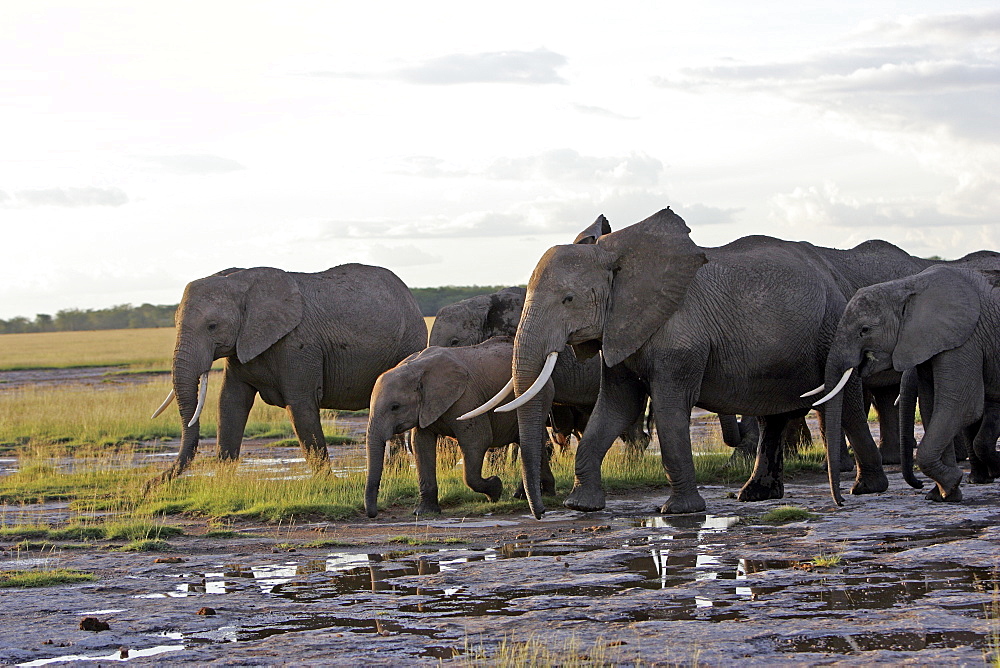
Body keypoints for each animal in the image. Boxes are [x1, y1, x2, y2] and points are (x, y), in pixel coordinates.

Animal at [151, 264, 426, 478]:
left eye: (212, 326)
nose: (149, 486)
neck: (241, 280)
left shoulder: (298, 346)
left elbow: (300, 406)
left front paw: (329, 484)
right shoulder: (242, 345)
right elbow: (230, 404)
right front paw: (223, 484)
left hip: (409, 343)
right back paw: (394, 475)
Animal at [366, 336, 556, 520]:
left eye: (395, 407)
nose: (373, 514)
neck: (416, 367)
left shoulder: (466, 399)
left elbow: (477, 441)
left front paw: (495, 489)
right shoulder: (426, 407)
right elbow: (421, 445)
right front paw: (424, 513)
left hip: (542, 394)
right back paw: (538, 493)